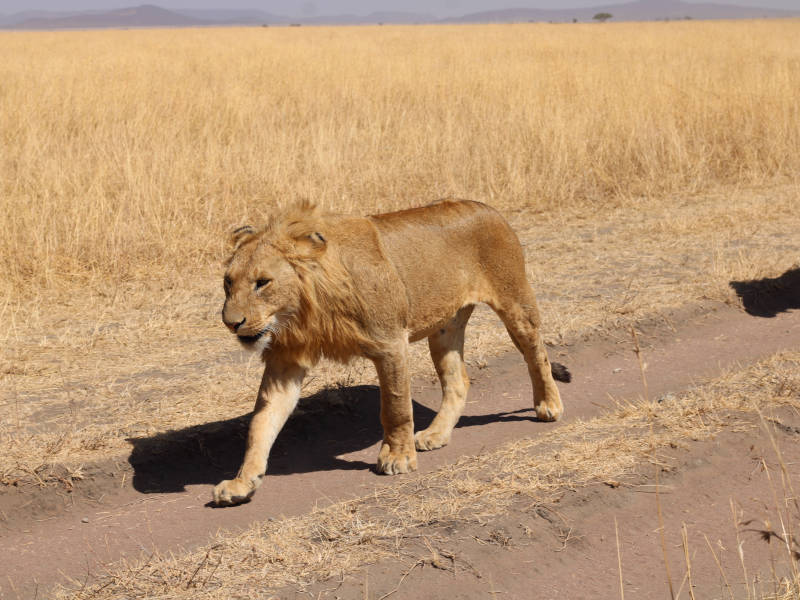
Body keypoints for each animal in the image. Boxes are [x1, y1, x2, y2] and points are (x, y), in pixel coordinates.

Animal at [214, 199, 568, 504]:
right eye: (228, 282)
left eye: (263, 282)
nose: (231, 323)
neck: (304, 310)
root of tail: (488, 207)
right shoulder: (285, 360)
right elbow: (262, 422)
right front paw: (242, 482)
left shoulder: (390, 343)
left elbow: (395, 407)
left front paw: (397, 457)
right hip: (445, 328)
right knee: (459, 381)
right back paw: (436, 435)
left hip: (515, 302)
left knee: (537, 354)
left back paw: (549, 405)